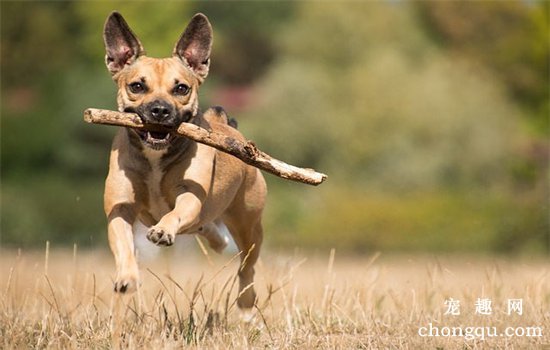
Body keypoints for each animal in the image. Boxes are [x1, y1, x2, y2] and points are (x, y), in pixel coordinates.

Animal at [103, 12, 270, 310]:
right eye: (137, 86)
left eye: (181, 88)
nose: (159, 110)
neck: (155, 155)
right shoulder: (119, 206)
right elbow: (123, 243)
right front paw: (127, 278)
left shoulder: (190, 196)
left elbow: (175, 212)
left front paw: (162, 230)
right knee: (207, 228)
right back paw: (217, 240)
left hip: (248, 224)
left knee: (247, 267)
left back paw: (246, 302)